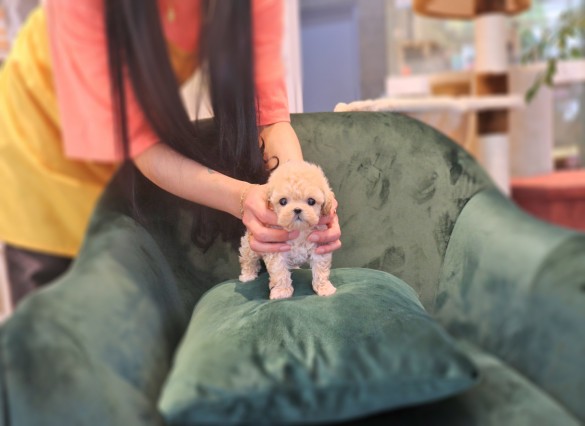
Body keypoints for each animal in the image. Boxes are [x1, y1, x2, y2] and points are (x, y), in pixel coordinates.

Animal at [239, 160, 337, 300]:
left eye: (311, 201)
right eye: (283, 201)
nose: (297, 209)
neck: (299, 231)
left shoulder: (320, 246)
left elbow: (321, 269)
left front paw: (324, 288)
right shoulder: (276, 250)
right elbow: (279, 272)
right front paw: (282, 291)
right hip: (249, 245)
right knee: (248, 258)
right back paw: (247, 275)